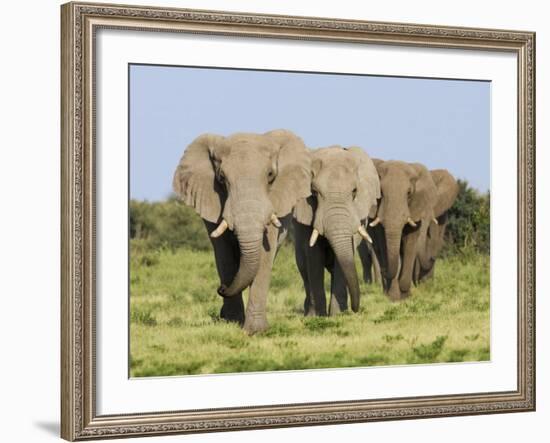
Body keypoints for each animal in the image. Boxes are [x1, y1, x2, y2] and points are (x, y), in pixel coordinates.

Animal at [170, 130, 312, 334]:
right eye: (221, 178)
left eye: (270, 175)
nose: (221, 288)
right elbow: (224, 253)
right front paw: (231, 322)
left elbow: (265, 255)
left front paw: (255, 331)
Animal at [296, 147, 382, 318]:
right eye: (314, 193)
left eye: (354, 191)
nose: (356, 309)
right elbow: (313, 256)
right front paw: (317, 317)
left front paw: (339, 314)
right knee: (303, 266)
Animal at [370, 160, 440, 302]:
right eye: (381, 192)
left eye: (409, 193)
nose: (384, 271)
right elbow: (384, 243)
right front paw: (394, 297)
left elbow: (410, 244)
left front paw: (405, 294)